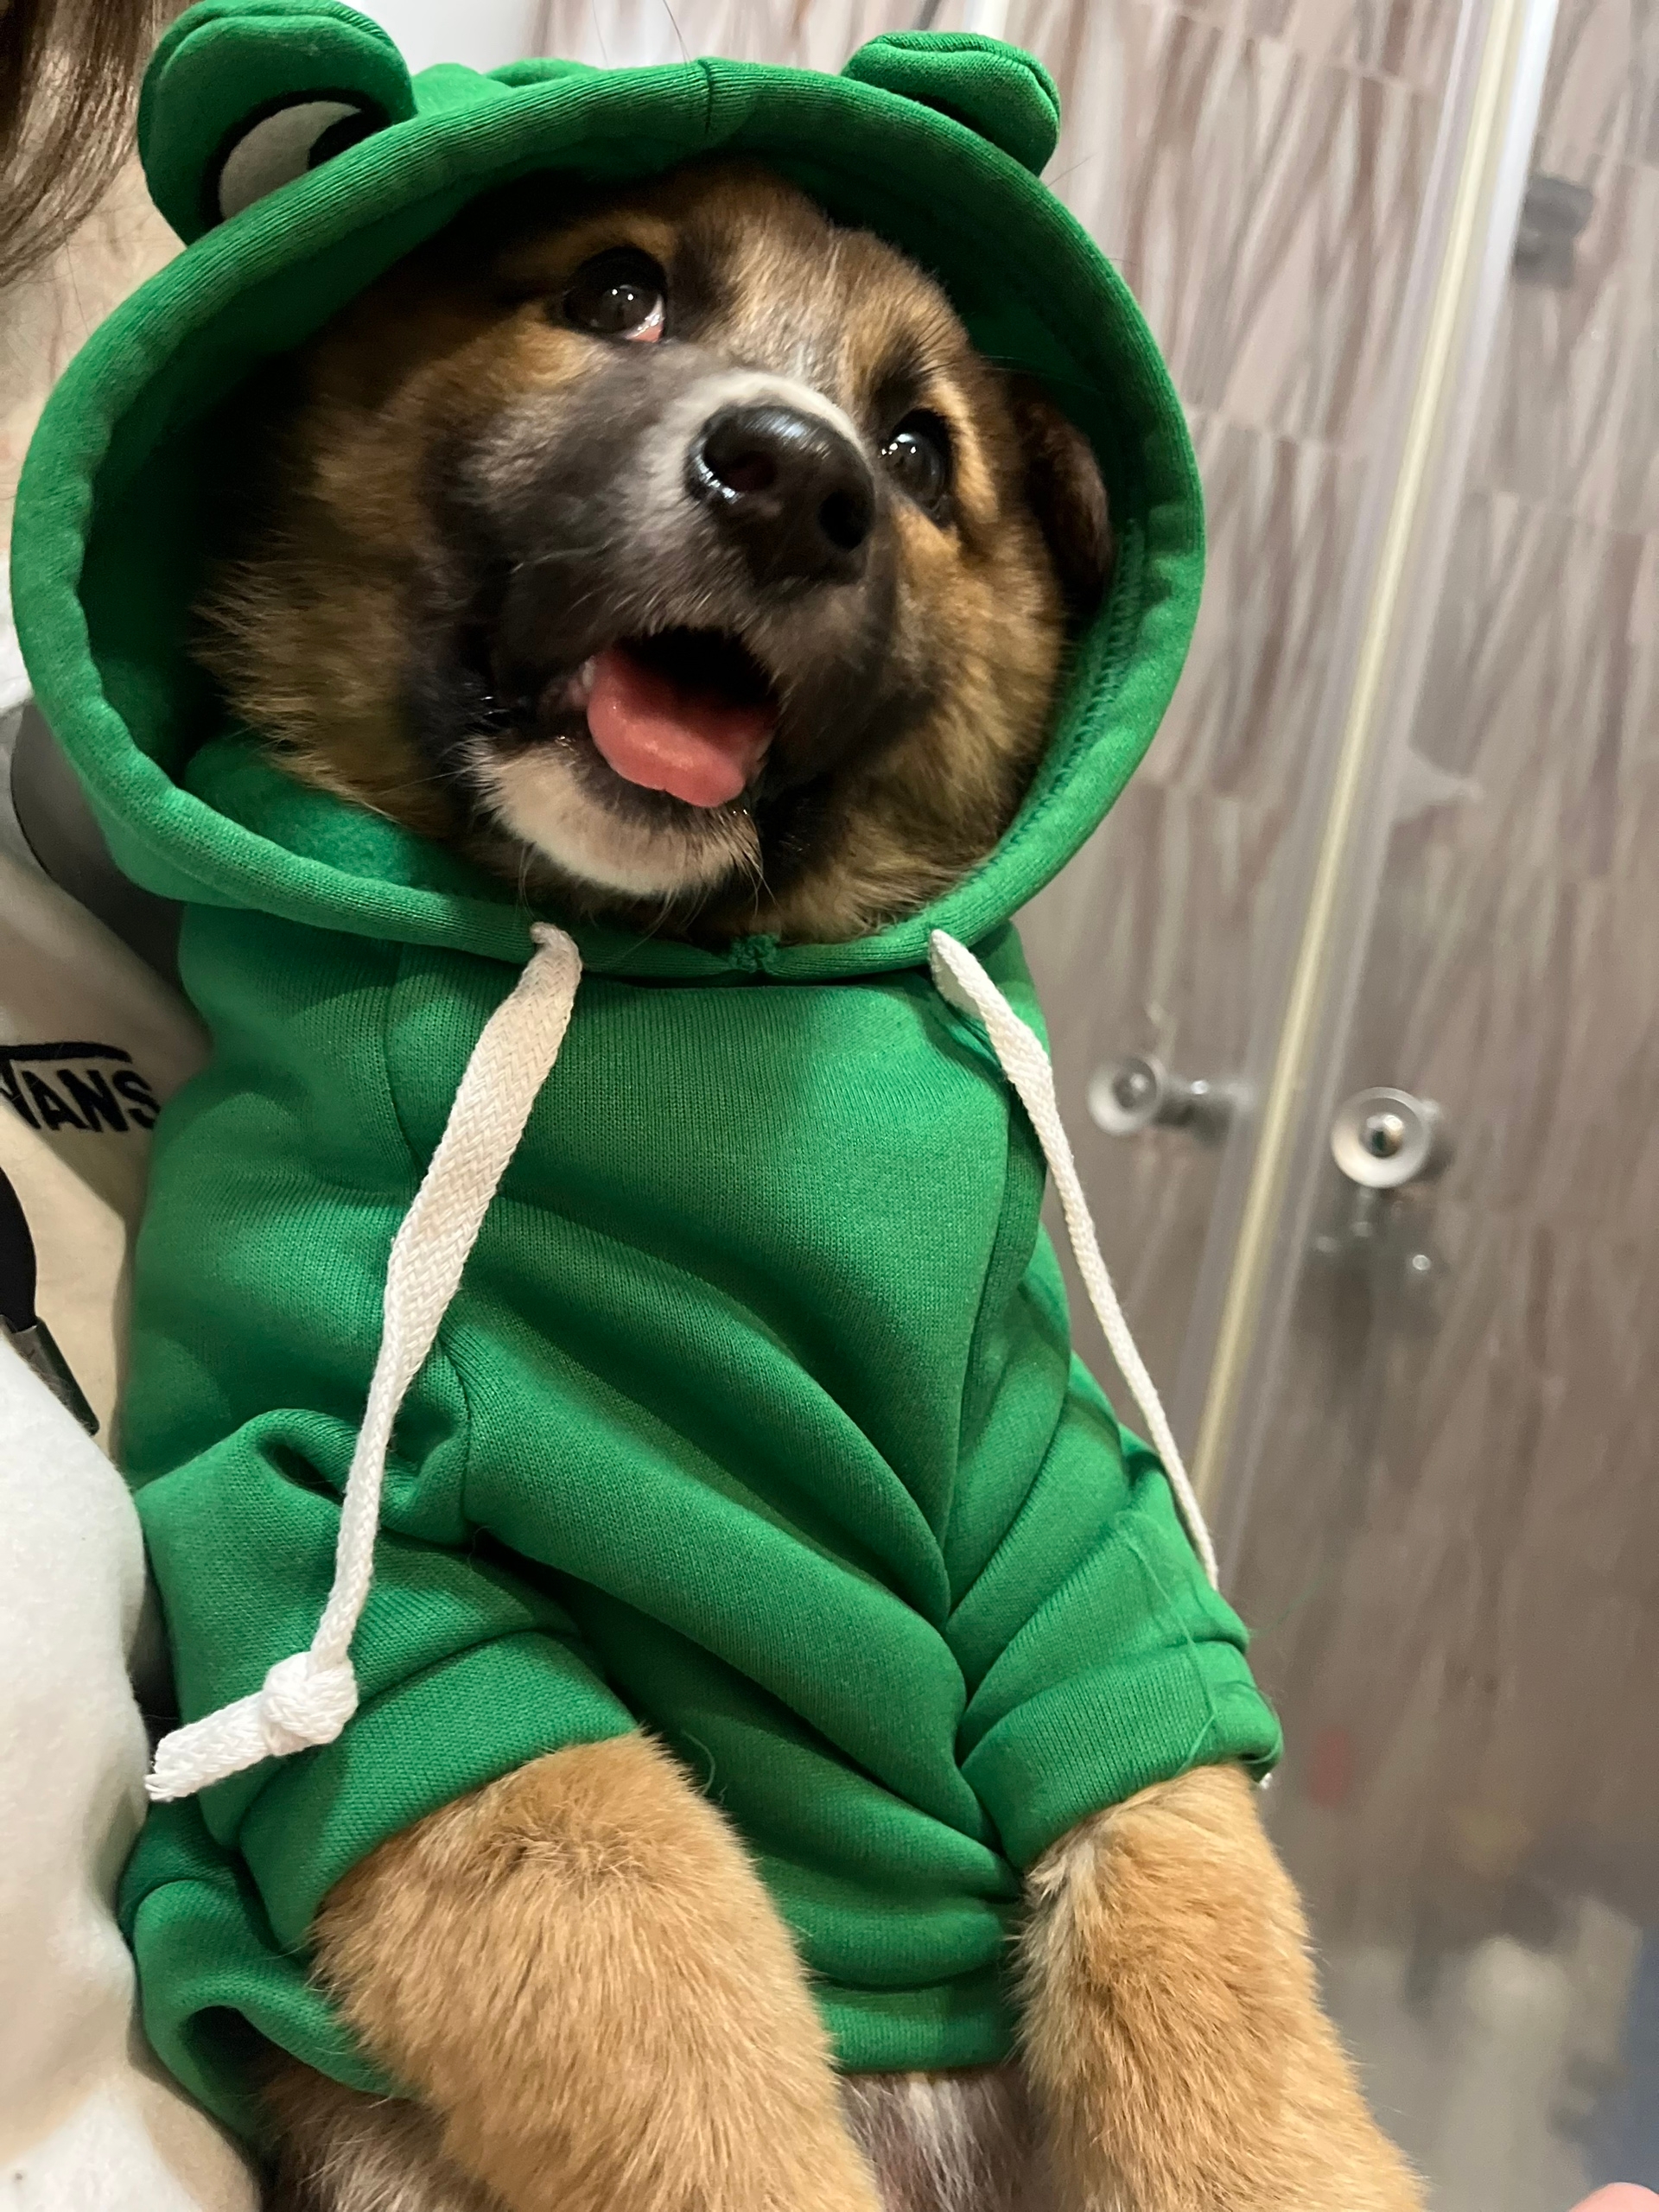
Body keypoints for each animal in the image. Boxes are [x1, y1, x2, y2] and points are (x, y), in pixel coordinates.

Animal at [193, 159, 1421, 2212]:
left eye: (920, 450)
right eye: (616, 291)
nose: (793, 478)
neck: (675, 987)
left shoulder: (1068, 1530)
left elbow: (1209, 1975)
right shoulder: (376, 1584)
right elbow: (673, 2004)